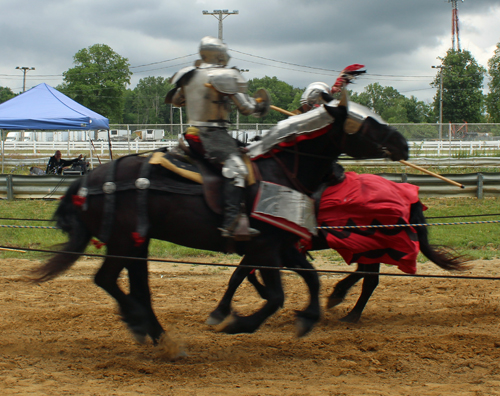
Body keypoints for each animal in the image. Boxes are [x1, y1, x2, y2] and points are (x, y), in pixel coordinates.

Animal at [31, 96, 408, 346]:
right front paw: (238, 322)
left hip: (137, 241)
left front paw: (308, 317)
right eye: (366, 124)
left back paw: (155, 333)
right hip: (125, 240)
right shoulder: (266, 247)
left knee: (134, 286)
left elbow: (310, 280)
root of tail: (89, 180)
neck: (283, 169)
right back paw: (146, 329)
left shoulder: (282, 245)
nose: (402, 143)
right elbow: (273, 295)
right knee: (108, 280)